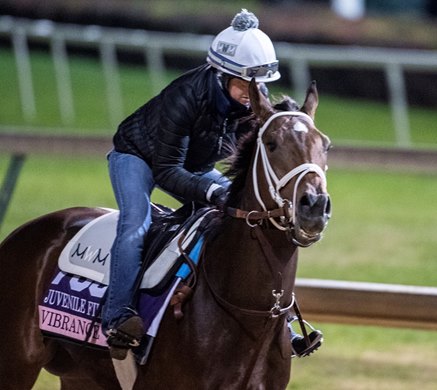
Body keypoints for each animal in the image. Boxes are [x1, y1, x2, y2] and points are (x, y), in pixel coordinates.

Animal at [0, 80, 330, 390]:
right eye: (272, 143)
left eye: (325, 145)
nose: (314, 205)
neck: (250, 313)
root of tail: (21, 233)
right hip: (16, 365)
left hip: (81, 377)